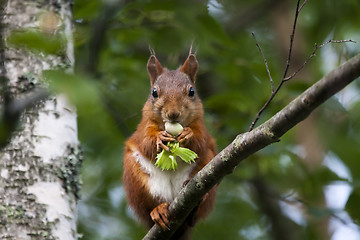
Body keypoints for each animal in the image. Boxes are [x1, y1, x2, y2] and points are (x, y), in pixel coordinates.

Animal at [122, 53, 215, 240]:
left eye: (192, 91)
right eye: (154, 92)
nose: (173, 114)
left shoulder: (201, 126)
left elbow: (200, 140)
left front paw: (188, 135)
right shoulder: (144, 126)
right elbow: (146, 141)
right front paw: (159, 138)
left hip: (208, 163)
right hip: (138, 183)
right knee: (151, 205)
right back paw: (158, 211)